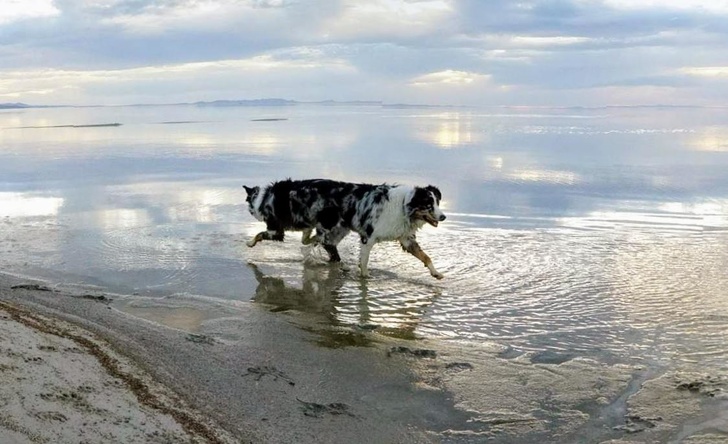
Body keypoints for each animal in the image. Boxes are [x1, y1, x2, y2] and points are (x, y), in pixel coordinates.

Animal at [245, 179, 446, 280]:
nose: (443, 216)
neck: (405, 206)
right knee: (324, 242)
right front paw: (364, 277)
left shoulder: (405, 238)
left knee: (323, 243)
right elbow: (364, 262)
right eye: (429, 205)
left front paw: (435, 273)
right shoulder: (368, 236)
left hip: (339, 229)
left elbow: (426, 256)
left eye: (437, 202)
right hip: (332, 225)